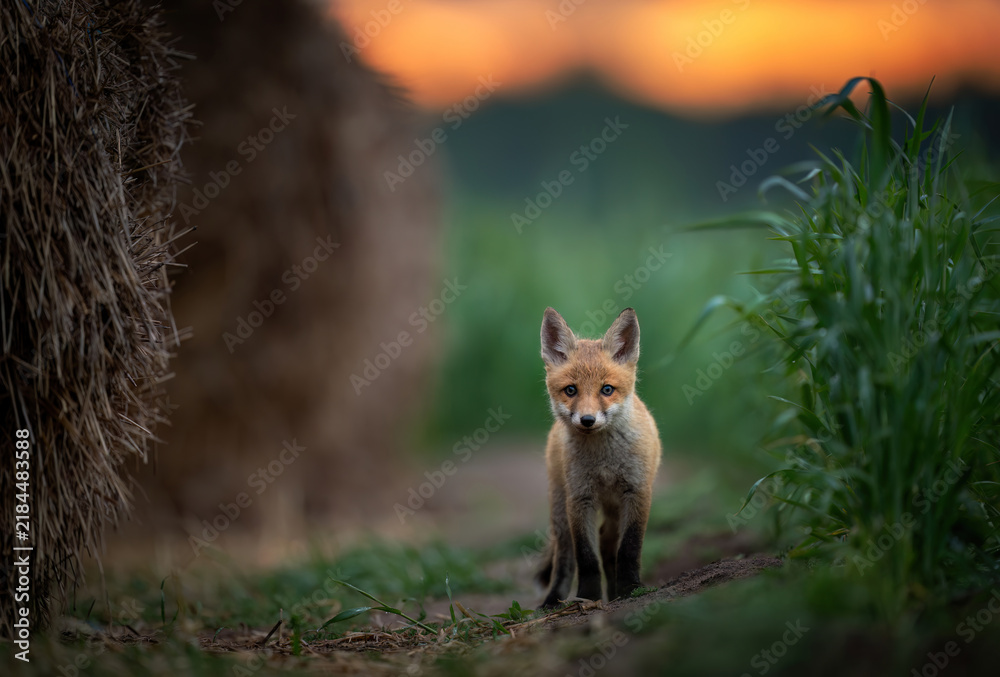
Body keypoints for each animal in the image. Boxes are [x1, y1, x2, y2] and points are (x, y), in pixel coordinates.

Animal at [536, 306, 661, 608]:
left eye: (607, 389)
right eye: (571, 390)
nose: (588, 420)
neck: (604, 461)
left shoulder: (637, 492)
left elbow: (629, 549)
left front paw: (631, 588)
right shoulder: (580, 498)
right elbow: (586, 557)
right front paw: (588, 596)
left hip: (615, 508)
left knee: (607, 542)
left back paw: (615, 591)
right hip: (561, 510)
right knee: (565, 557)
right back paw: (553, 601)